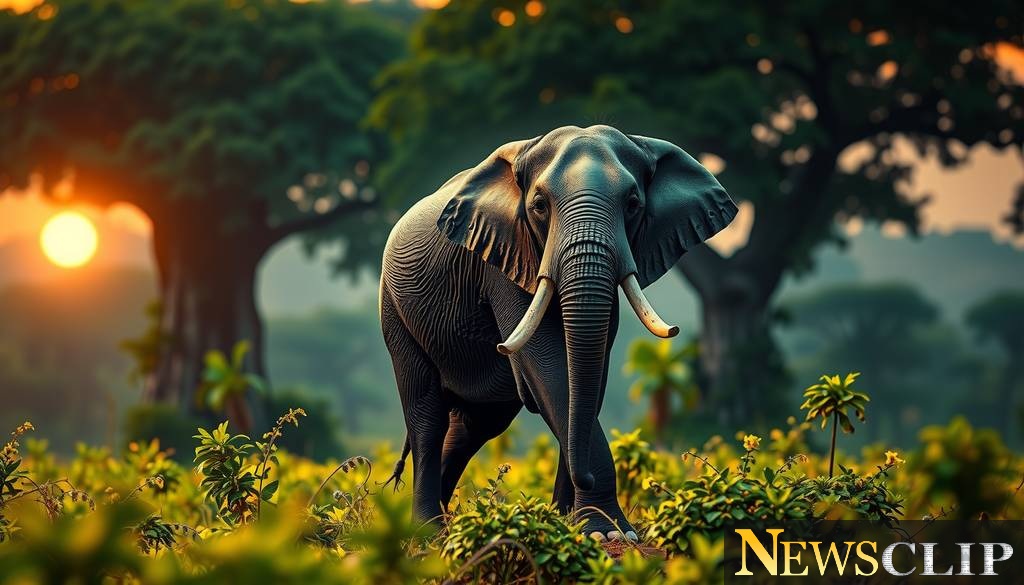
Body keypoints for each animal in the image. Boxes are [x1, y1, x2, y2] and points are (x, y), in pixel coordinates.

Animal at [378, 125, 737, 540]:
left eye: (633, 204)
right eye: (539, 206)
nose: (585, 478)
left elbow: (588, 376)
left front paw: (576, 524)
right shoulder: (505, 259)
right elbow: (550, 369)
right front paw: (604, 531)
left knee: (476, 425)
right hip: (395, 312)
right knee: (427, 416)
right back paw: (427, 531)